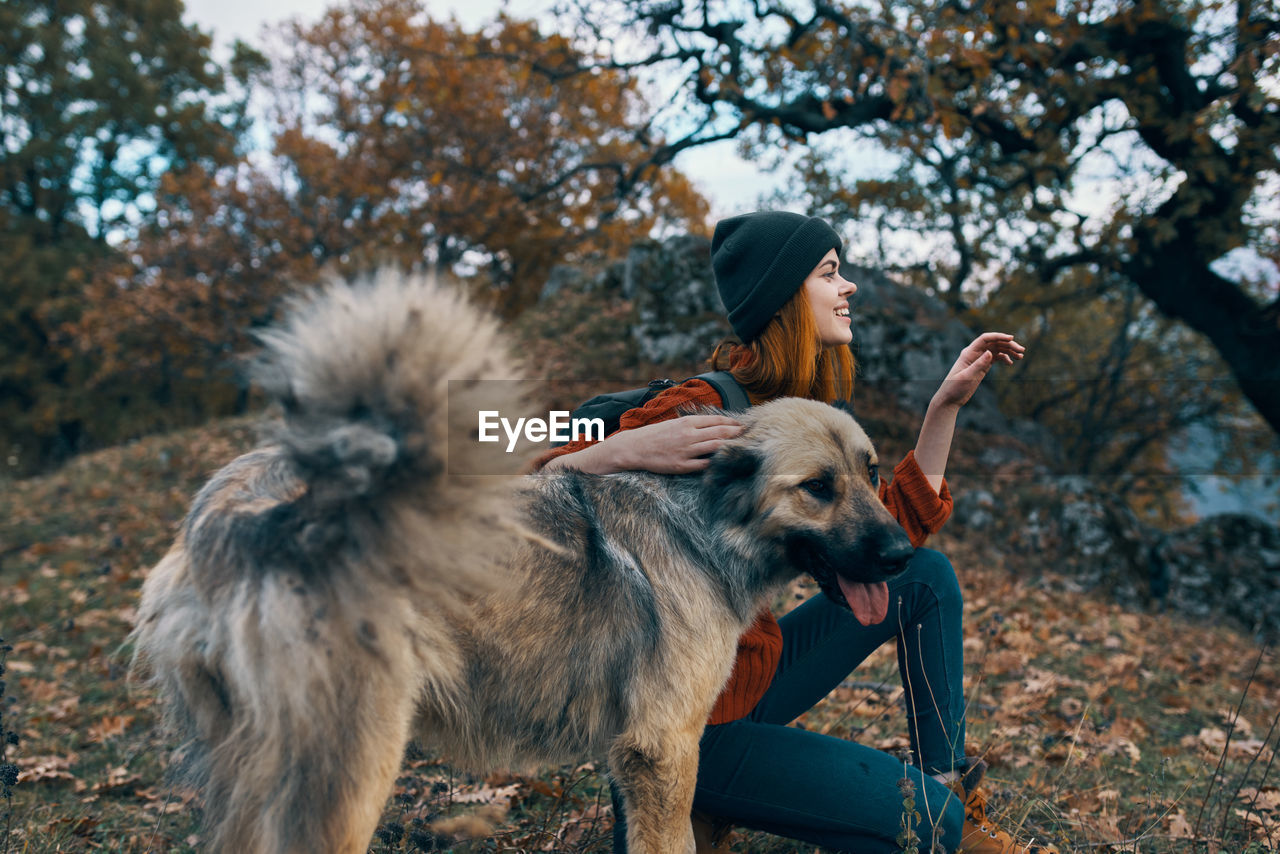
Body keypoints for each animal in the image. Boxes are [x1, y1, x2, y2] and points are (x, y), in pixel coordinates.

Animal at [129, 275, 916, 854]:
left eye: (872, 473)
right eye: (817, 487)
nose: (904, 555)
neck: (703, 518)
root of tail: (236, 513)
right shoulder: (662, 750)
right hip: (348, 772)